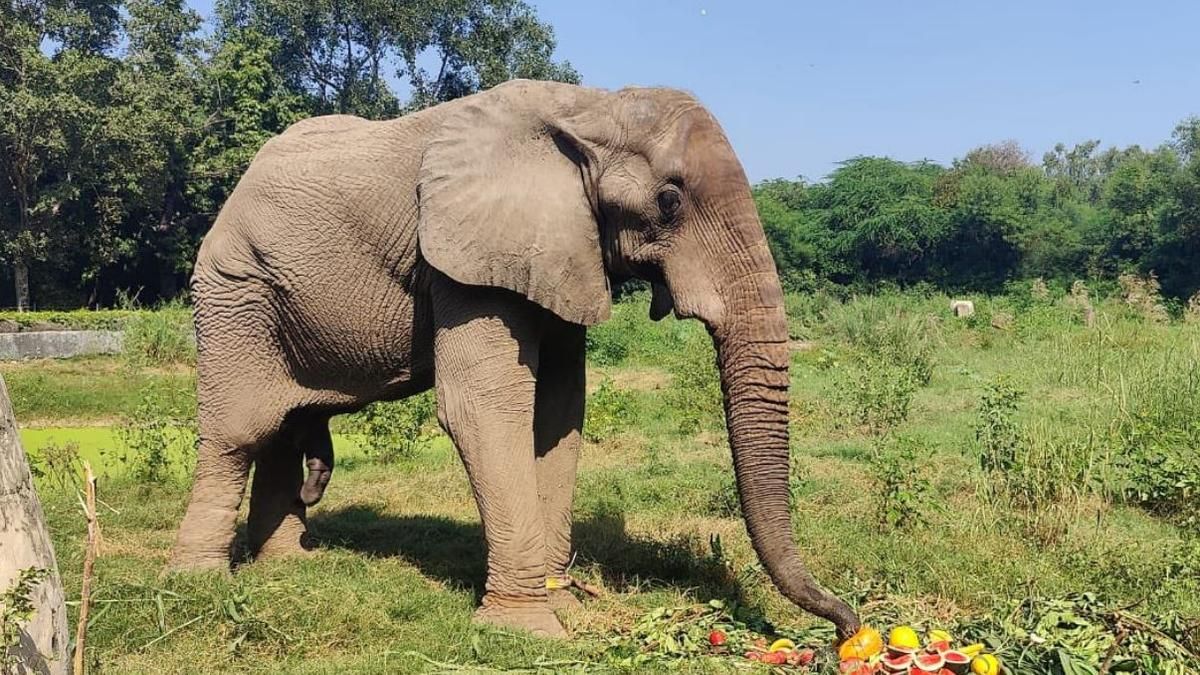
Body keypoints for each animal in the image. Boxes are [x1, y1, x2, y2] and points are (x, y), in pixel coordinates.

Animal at [168, 79, 861, 639]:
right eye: (669, 200)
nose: (847, 626)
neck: (589, 107)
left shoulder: (562, 251)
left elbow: (558, 413)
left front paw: (566, 608)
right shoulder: (467, 257)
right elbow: (485, 406)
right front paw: (529, 630)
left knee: (283, 425)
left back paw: (288, 566)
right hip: (234, 288)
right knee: (241, 429)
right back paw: (200, 581)